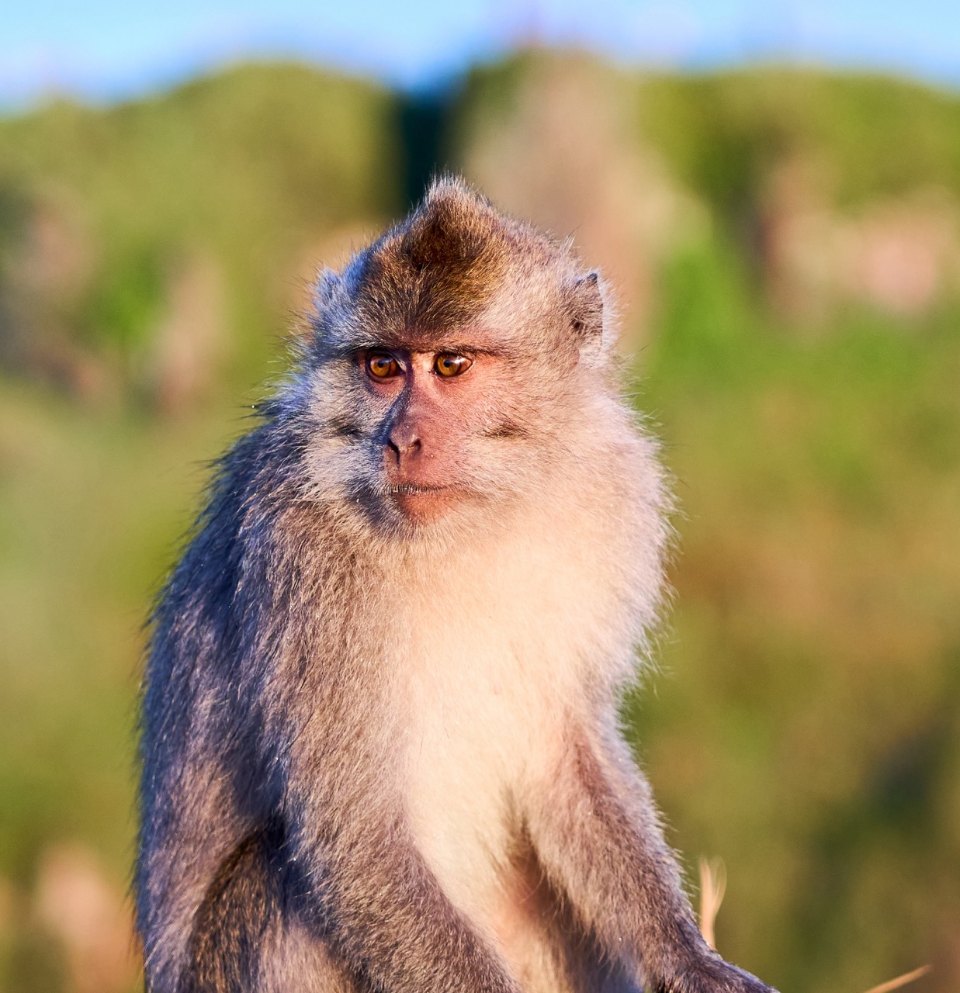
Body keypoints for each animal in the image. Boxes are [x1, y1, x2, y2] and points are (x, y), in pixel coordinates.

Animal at [136, 176, 777, 993]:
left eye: (450, 365)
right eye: (382, 367)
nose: (402, 439)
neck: (474, 519)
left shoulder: (612, 493)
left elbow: (563, 747)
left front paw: (691, 959)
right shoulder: (303, 556)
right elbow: (355, 834)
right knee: (275, 882)